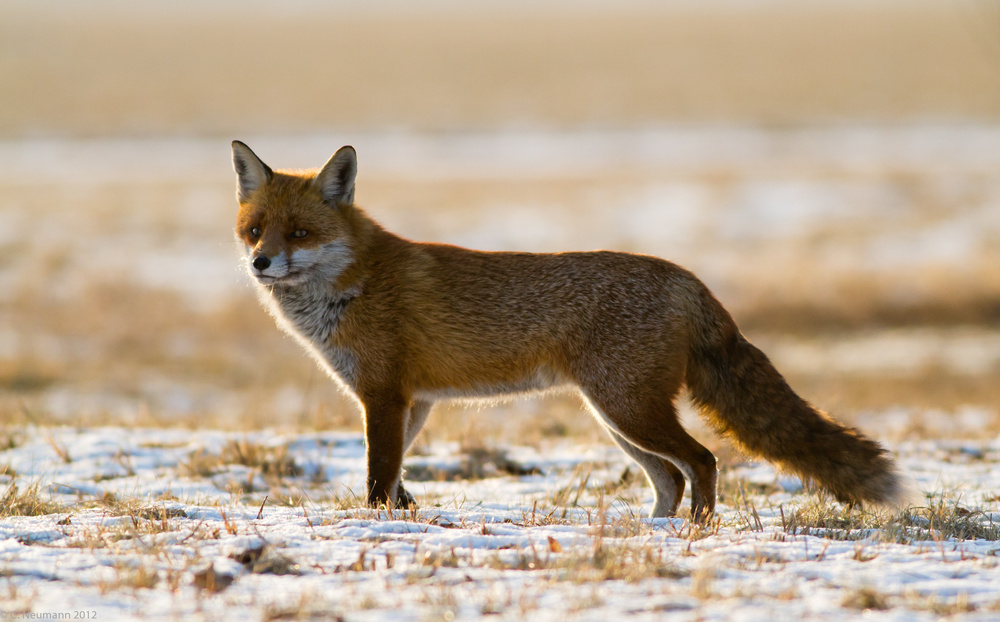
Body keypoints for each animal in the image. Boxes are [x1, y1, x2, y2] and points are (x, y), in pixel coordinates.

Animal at [232, 140, 908, 520]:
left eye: (299, 234)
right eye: (255, 229)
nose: (259, 263)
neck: (353, 284)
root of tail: (686, 277)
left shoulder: (384, 397)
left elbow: (378, 481)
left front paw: (375, 531)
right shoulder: (412, 403)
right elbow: (397, 480)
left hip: (628, 409)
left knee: (704, 461)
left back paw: (694, 531)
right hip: (618, 417)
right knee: (672, 476)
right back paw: (656, 530)